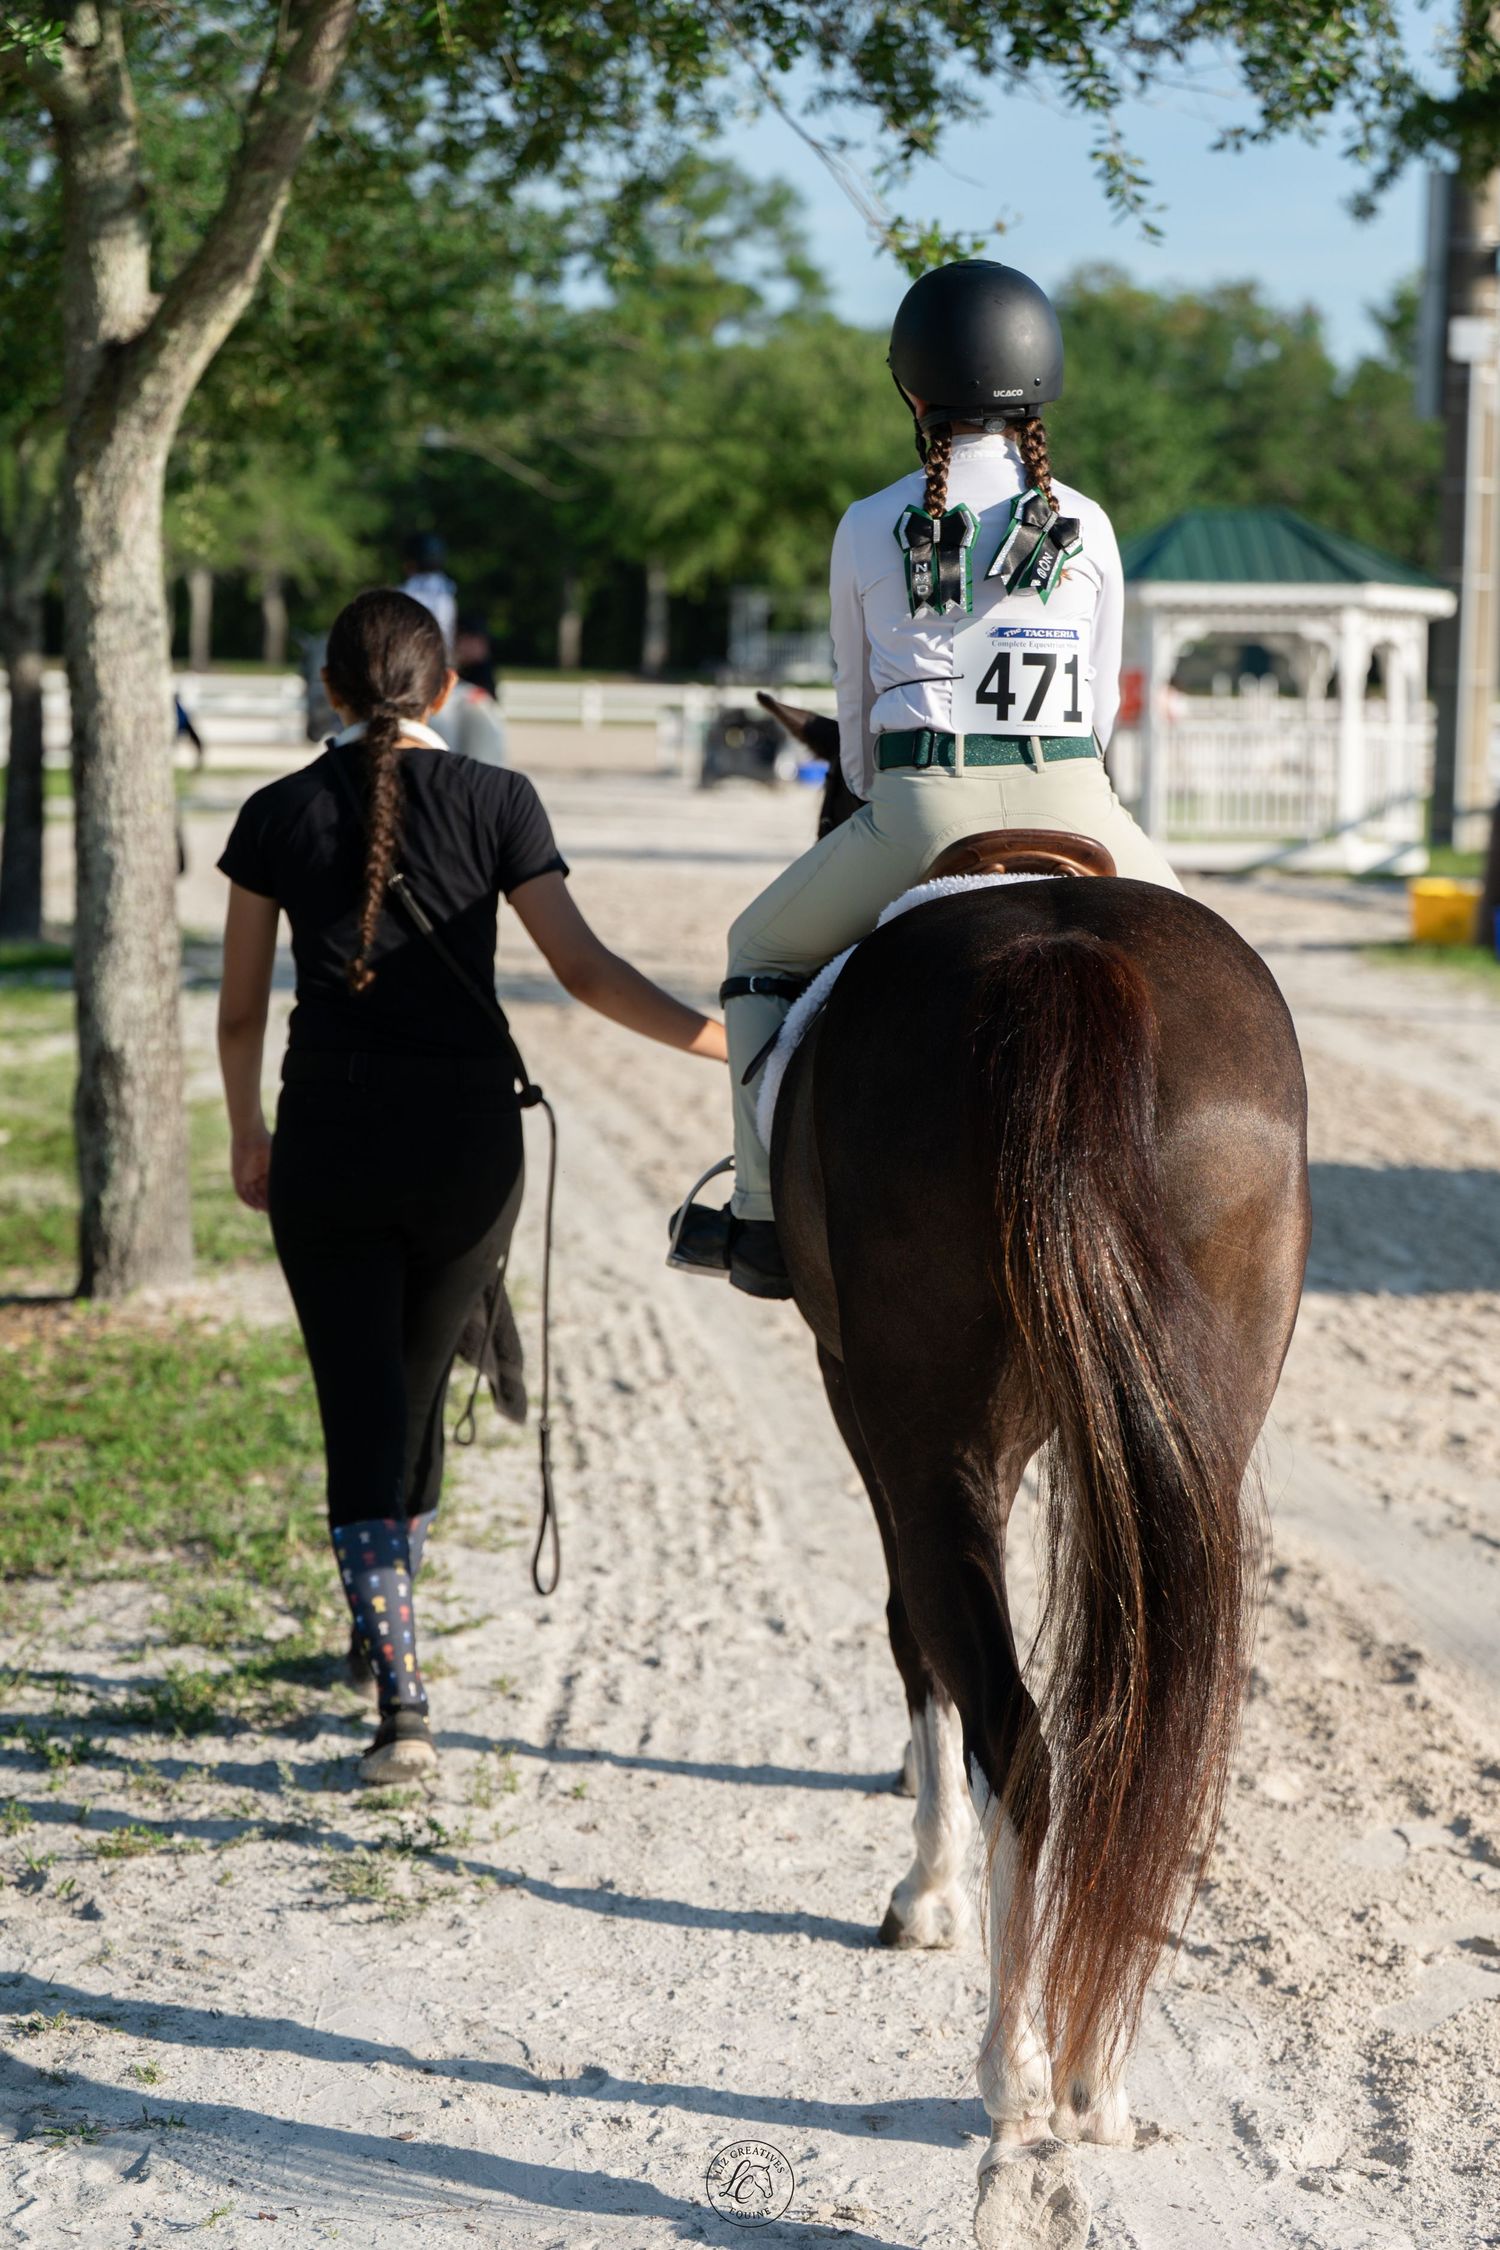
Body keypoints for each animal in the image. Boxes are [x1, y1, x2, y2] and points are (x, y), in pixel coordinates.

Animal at [754, 696, 1310, 2242]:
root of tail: (1068, 960)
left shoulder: (869, 1404)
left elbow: (913, 1638)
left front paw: (925, 1888)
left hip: (930, 1422)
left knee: (1026, 1734)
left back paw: (1013, 2073)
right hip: (1195, 1421)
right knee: (1154, 1749)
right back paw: (1098, 2072)